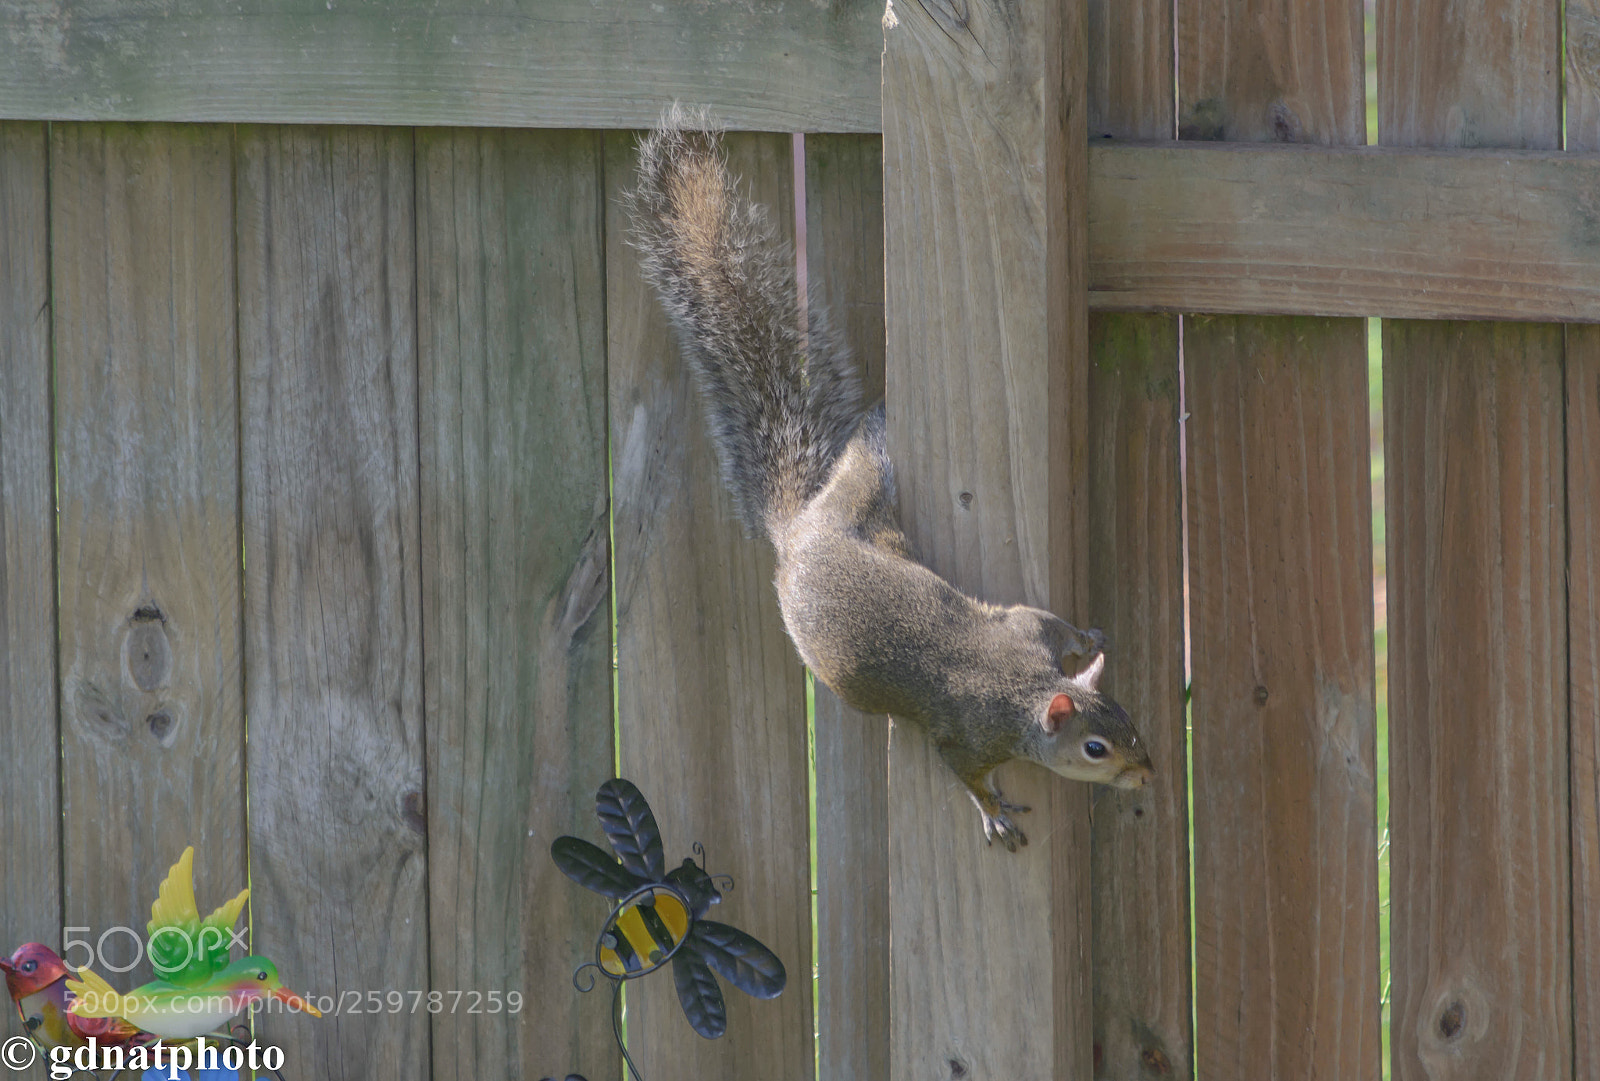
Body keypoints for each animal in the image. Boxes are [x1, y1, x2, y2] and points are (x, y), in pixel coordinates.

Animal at [625, 110, 1154, 851]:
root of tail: (801, 530)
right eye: (1095, 749)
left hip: (865, 503)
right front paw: (993, 810)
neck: (1019, 684)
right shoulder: (966, 735)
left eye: (1128, 717)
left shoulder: (1023, 630)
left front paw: (1086, 638)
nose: (1149, 773)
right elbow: (965, 772)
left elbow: (1043, 618)